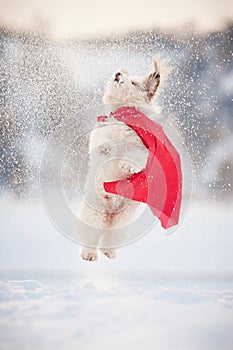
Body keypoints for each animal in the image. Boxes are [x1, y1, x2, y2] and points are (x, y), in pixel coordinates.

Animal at [78, 58, 167, 260]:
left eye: (133, 82)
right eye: (122, 74)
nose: (118, 73)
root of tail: (110, 213)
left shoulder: (140, 149)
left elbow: (132, 157)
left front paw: (128, 167)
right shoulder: (100, 140)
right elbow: (104, 147)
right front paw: (107, 148)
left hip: (121, 222)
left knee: (111, 238)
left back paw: (108, 252)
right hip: (93, 214)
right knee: (91, 235)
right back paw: (89, 254)